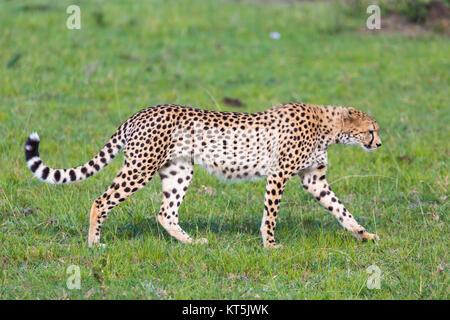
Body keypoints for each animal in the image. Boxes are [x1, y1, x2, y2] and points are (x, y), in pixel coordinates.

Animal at [24, 102, 382, 248]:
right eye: (371, 130)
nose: (378, 143)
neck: (328, 127)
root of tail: (141, 112)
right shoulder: (278, 174)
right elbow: (271, 215)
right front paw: (270, 245)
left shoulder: (314, 179)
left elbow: (341, 209)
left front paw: (364, 235)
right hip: (140, 168)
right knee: (101, 201)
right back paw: (94, 243)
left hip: (179, 170)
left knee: (165, 213)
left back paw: (192, 243)